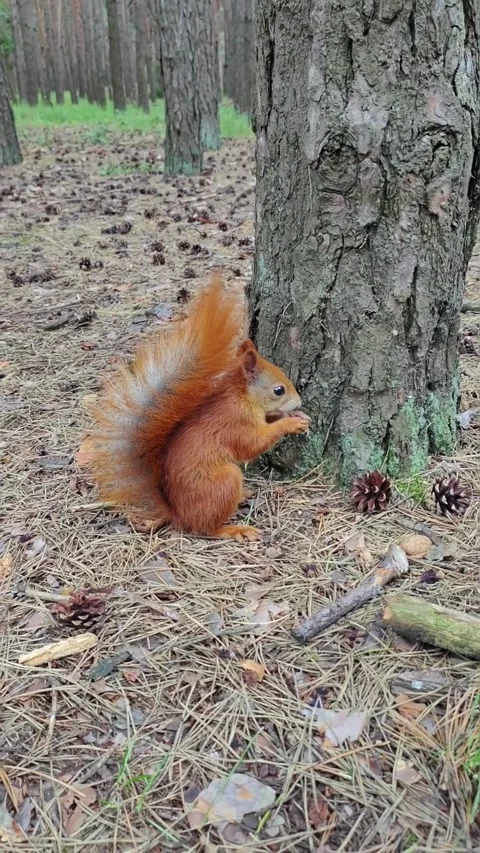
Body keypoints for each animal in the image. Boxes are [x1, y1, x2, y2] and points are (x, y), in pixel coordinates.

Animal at [88, 274, 310, 542]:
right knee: (207, 527)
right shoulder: (236, 422)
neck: (242, 397)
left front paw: (295, 415)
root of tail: (179, 514)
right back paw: (234, 528)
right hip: (222, 483)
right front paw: (291, 422)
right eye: (279, 390)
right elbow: (254, 444)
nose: (299, 402)